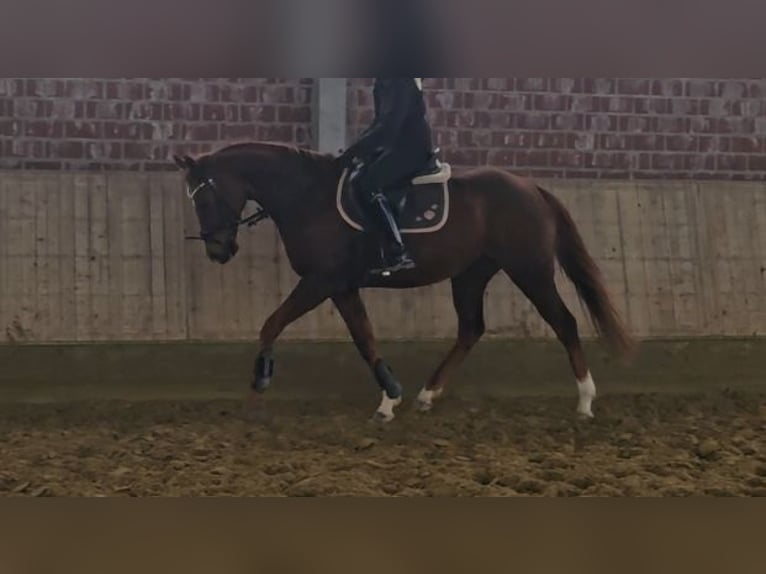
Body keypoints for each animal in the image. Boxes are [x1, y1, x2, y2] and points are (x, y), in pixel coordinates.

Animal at [173, 141, 634, 422]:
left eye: (204, 197)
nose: (218, 251)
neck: (307, 197)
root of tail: (530, 187)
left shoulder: (321, 281)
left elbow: (271, 324)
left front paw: (260, 381)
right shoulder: (341, 287)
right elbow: (365, 338)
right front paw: (389, 398)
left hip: (530, 270)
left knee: (564, 322)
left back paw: (585, 400)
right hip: (471, 274)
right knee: (471, 329)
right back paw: (427, 395)